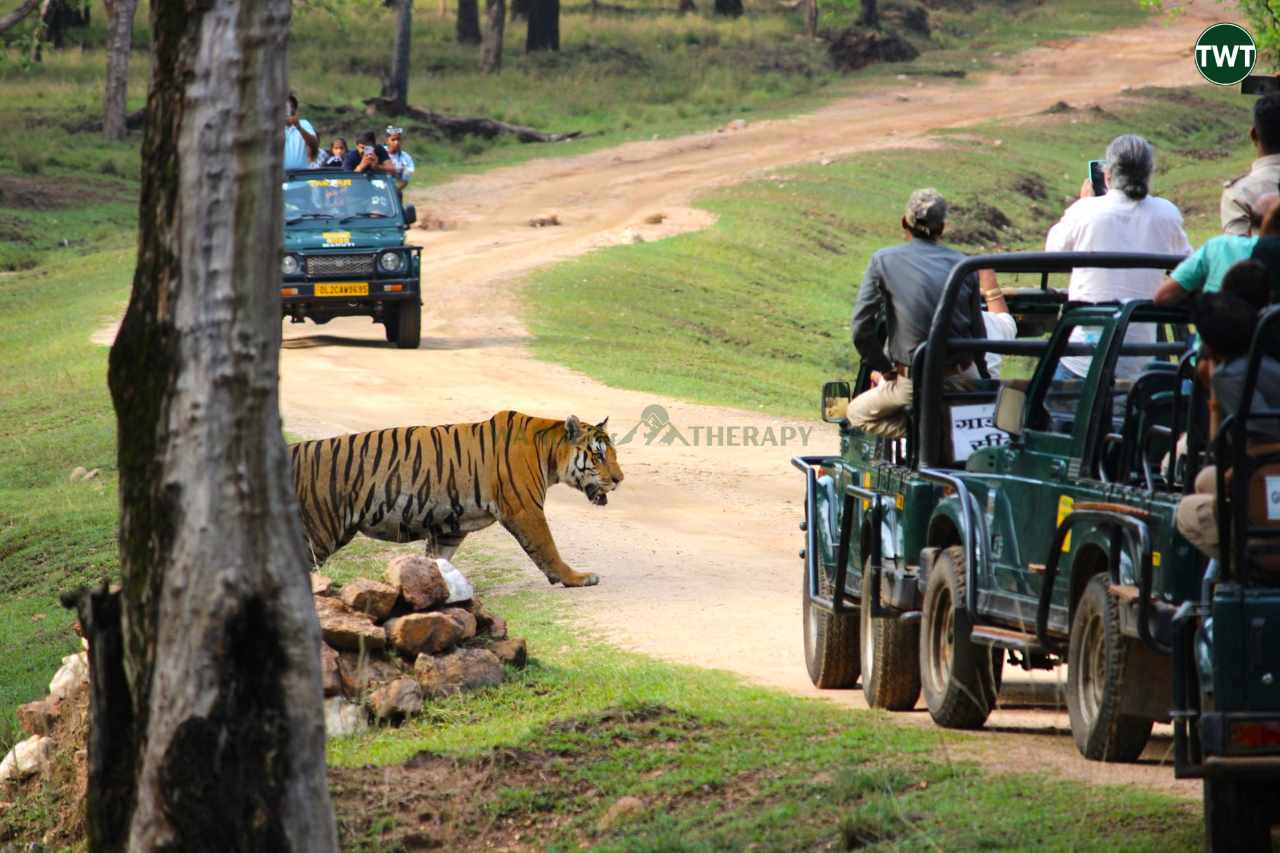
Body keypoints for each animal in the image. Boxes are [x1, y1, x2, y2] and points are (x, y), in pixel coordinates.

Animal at [289, 410, 623, 587]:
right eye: (598, 456)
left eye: (614, 454)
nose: (620, 479)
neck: (549, 451)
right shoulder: (525, 510)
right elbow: (548, 548)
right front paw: (577, 578)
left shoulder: (451, 526)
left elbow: (436, 560)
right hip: (318, 531)